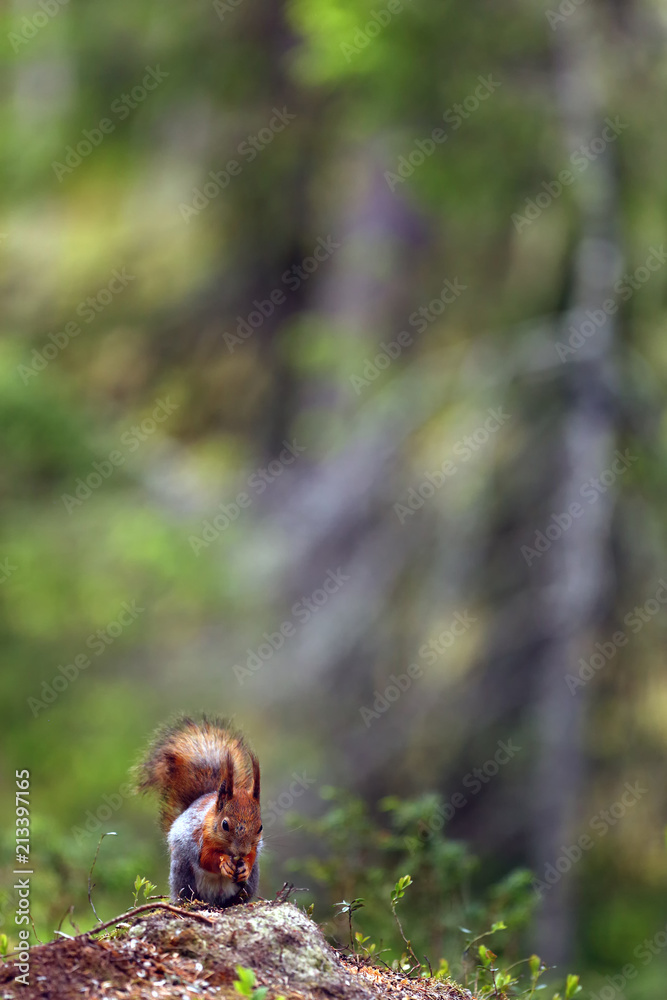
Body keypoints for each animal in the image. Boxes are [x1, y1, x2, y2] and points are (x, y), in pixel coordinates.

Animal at [135, 715, 262, 907]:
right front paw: (224, 862)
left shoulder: (254, 847)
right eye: (225, 824)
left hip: (251, 882)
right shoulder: (199, 837)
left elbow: (253, 855)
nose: (241, 852)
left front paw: (245, 864)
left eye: (260, 828)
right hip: (183, 873)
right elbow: (206, 858)